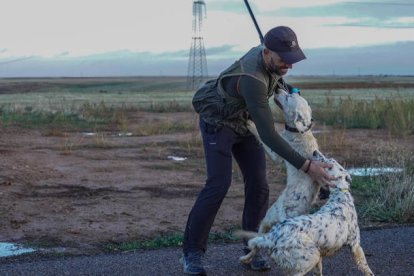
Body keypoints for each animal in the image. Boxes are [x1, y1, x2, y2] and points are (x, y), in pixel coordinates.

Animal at [236, 151, 376, 276]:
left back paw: (245, 259)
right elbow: (366, 267)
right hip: (311, 257)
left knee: (254, 246)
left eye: (329, 162)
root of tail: (271, 237)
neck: (339, 196)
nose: (314, 152)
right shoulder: (355, 245)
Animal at [247, 89, 322, 233]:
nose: (277, 90)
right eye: (293, 93)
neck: (299, 131)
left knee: (262, 227)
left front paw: (250, 123)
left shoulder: (276, 153)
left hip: (270, 214)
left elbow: (262, 136)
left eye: (288, 97)